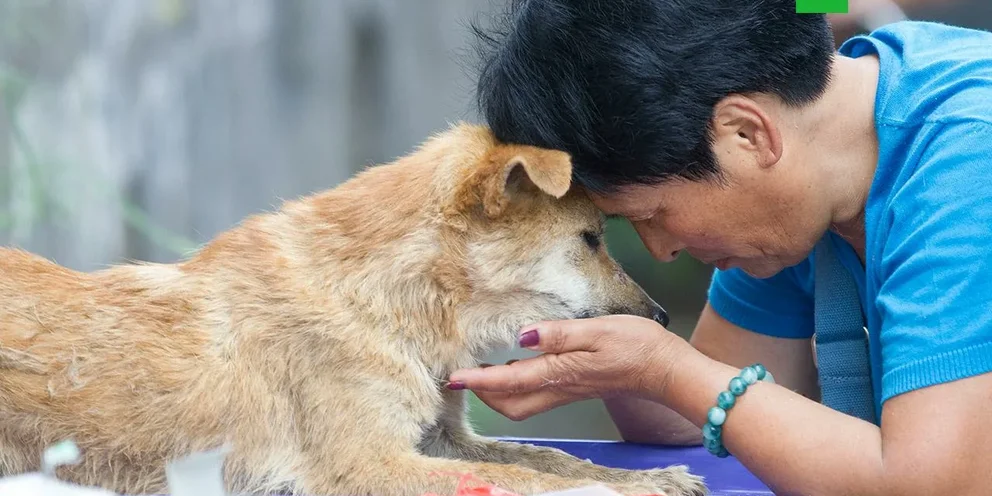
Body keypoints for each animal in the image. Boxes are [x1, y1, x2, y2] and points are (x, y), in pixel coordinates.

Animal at [0, 124, 704, 496]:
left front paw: (649, 477)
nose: (663, 321)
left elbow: (550, 460)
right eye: (590, 239)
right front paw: (633, 487)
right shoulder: (369, 465)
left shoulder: (442, 440)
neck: (387, 303)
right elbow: (528, 481)